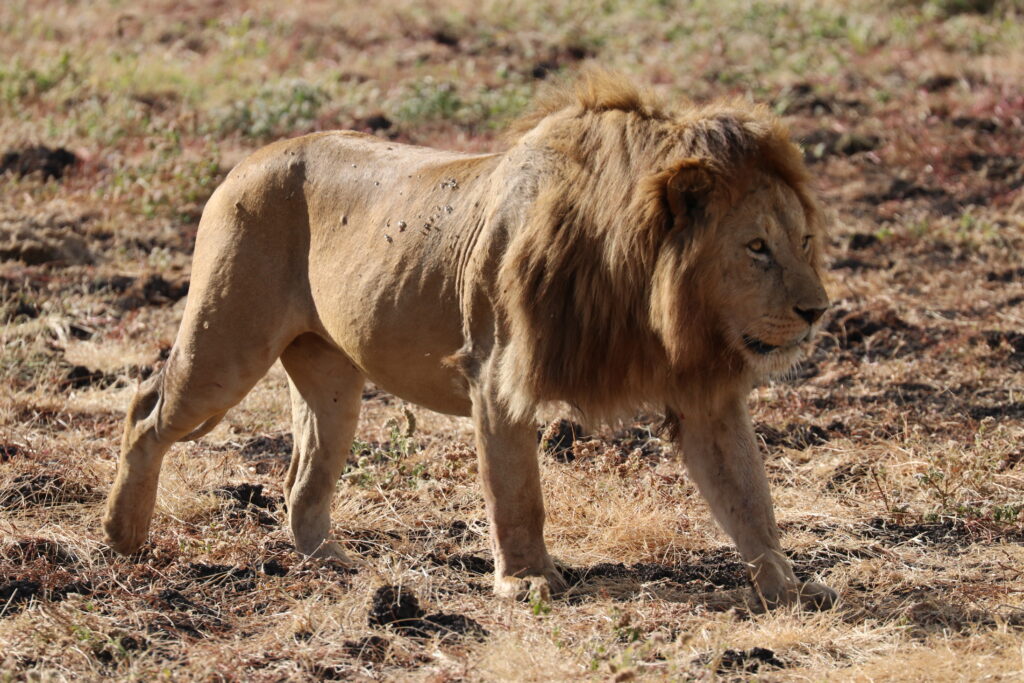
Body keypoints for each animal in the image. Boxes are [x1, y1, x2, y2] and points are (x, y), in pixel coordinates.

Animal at [103, 70, 835, 610]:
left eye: (802, 241)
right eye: (756, 248)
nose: (817, 311)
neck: (643, 292)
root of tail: (249, 158)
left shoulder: (705, 393)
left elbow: (749, 497)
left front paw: (789, 585)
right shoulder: (498, 371)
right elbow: (517, 492)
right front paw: (528, 580)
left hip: (331, 377)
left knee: (302, 475)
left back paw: (336, 564)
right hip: (227, 342)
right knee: (146, 408)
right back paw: (124, 537)